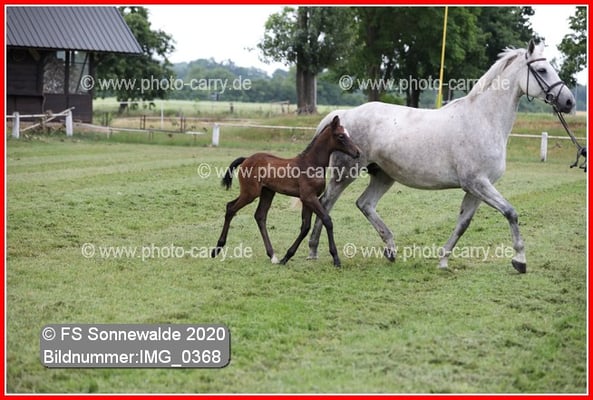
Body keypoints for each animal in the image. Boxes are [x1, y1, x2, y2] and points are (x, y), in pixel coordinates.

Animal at [211, 115, 361, 267]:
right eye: (341, 136)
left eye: (348, 134)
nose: (357, 152)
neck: (311, 164)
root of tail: (246, 159)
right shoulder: (309, 197)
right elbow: (327, 220)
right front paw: (336, 258)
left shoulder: (308, 200)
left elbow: (305, 227)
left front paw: (286, 257)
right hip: (250, 193)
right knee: (231, 208)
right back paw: (217, 248)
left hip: (267, 192)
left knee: (260, 216)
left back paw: (273, 256)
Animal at [307, 41, 575, 273]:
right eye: (542, 70)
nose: (569, 102)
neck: (484, 120)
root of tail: (342, 116)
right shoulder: (477, 183)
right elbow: (511, 212)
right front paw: (520, 260)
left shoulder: (477, 188)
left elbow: (463, 223)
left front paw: (443, 260)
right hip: (345, 173)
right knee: (325, 203)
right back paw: (314, 252)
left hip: (383, 175)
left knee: (365, 204)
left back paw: (390, 250)